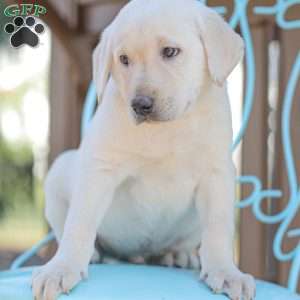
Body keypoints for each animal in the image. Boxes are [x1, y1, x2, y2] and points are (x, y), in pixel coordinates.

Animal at [32, 0, 255, 298]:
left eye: (170, 51)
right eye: (124, 59)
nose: (140, 105)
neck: (166, 129)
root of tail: (137, 256)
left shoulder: (217, 174)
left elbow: (218, 228)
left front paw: (226, 272)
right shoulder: (99, 170)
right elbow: (79, 223)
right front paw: (61, 268)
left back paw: (176, 254)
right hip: (60, 171)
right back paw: (97, 254)